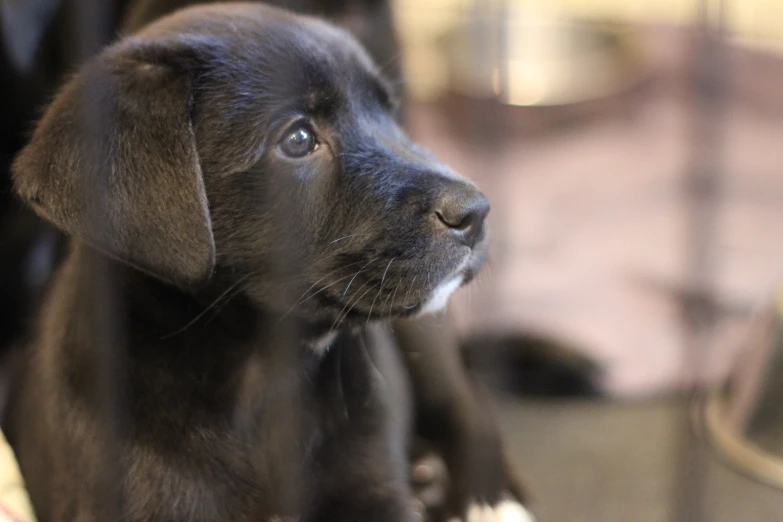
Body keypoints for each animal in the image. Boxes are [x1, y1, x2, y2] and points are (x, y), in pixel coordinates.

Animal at [6, 4, 536, 520]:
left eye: (390, 114)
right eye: (298, 138)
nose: (476, 211)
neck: (266, 374)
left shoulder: (376, 492)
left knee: (471, 405)